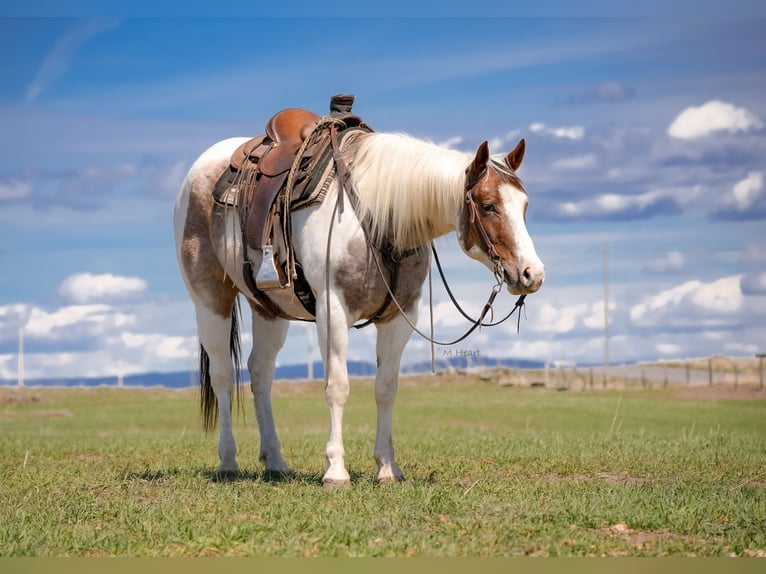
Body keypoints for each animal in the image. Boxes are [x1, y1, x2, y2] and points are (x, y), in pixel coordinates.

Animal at [173, 119, 545, 486]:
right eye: (488, 205)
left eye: (526, 206)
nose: (533, 274)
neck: (380, 218)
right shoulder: (333, 312)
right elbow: (337, 386)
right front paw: (336, 470)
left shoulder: (400, 317)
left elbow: (386, 388)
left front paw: (387, 468)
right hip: (209, 299)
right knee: (223, 374)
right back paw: (228, 461)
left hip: (269, 310)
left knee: (260, 373)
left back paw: (275, 461)